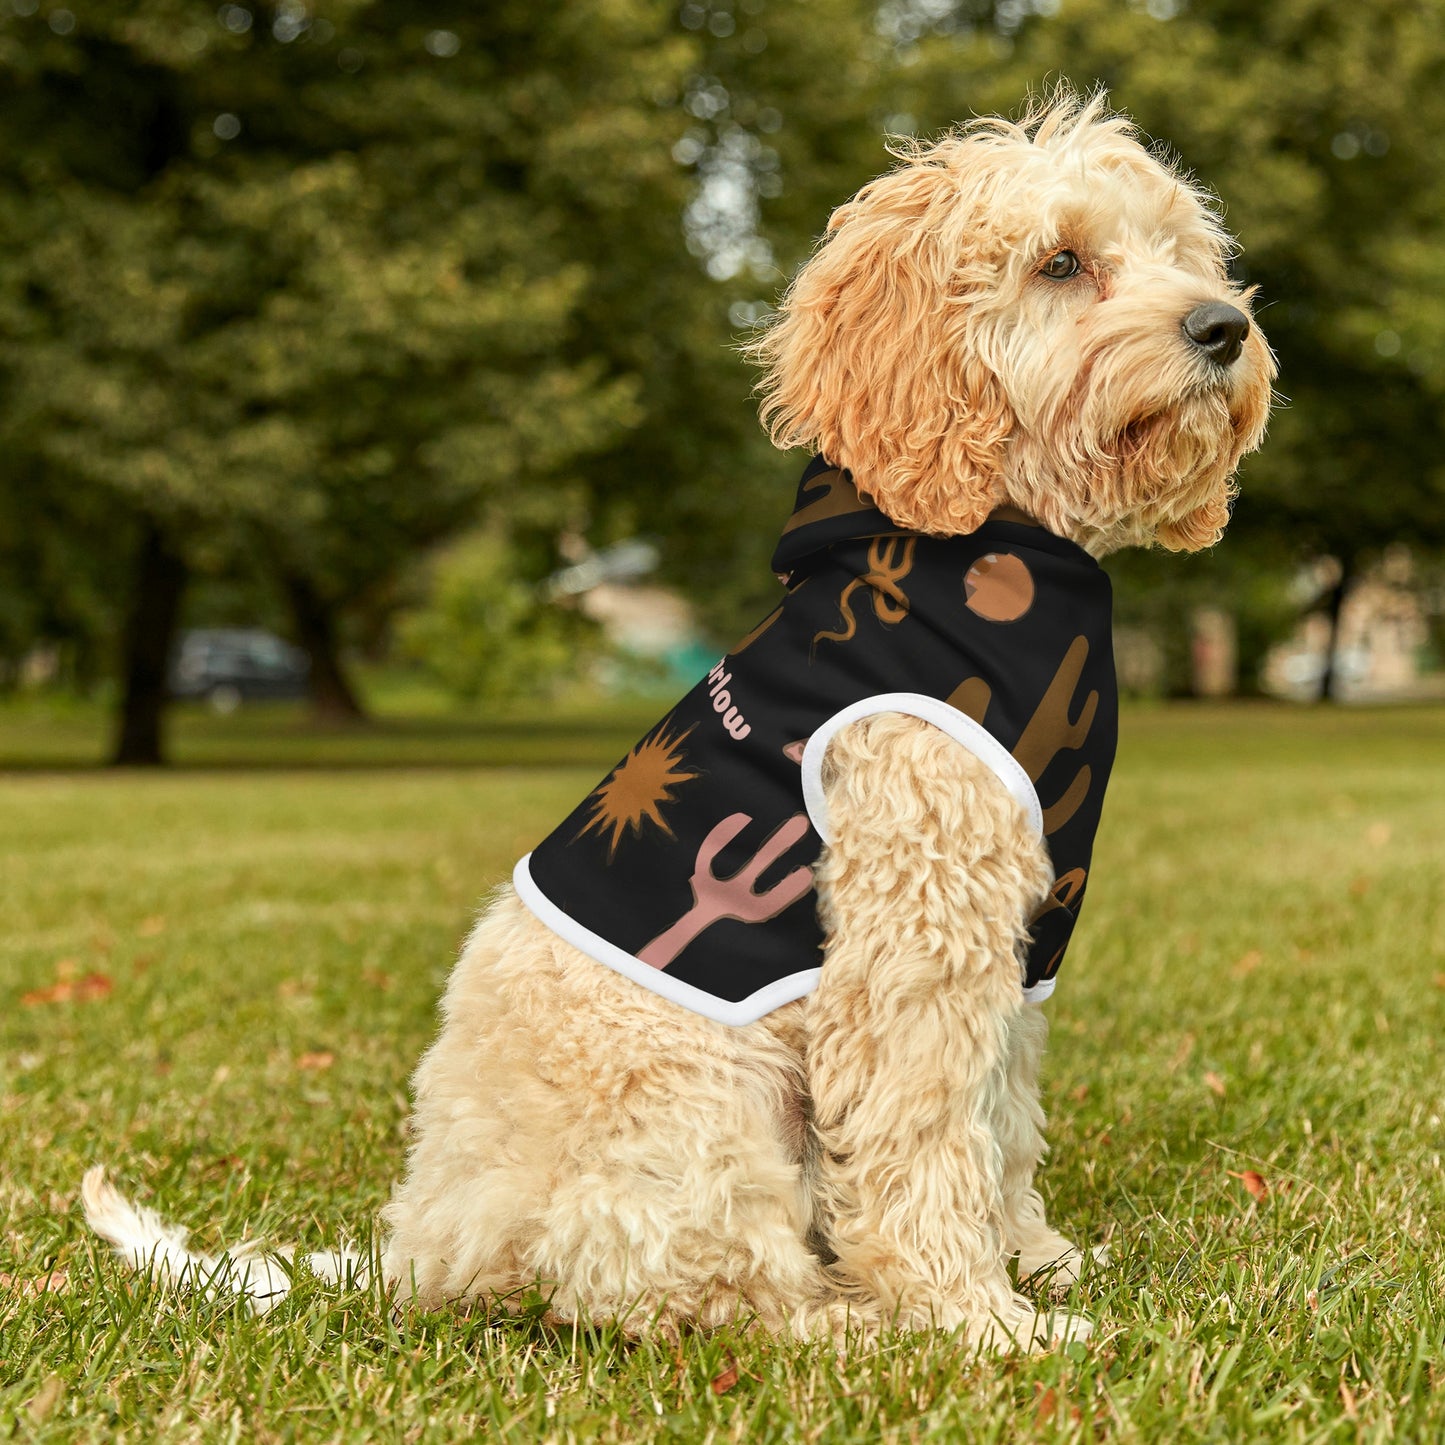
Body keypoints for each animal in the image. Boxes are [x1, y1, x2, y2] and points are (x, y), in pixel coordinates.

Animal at [84, 93, 1271, 1352]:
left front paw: (1034, 1260)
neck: (987, 549)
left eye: (1180, 252)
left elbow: (999, 1119)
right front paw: (976, 1318)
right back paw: (852, 1322)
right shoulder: (912, 936)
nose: (1222, 327)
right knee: (700, 1291)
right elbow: (923, 1135)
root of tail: (424, 1247)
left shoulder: (1017, 939)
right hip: (704, 1103)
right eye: (1059, 262)